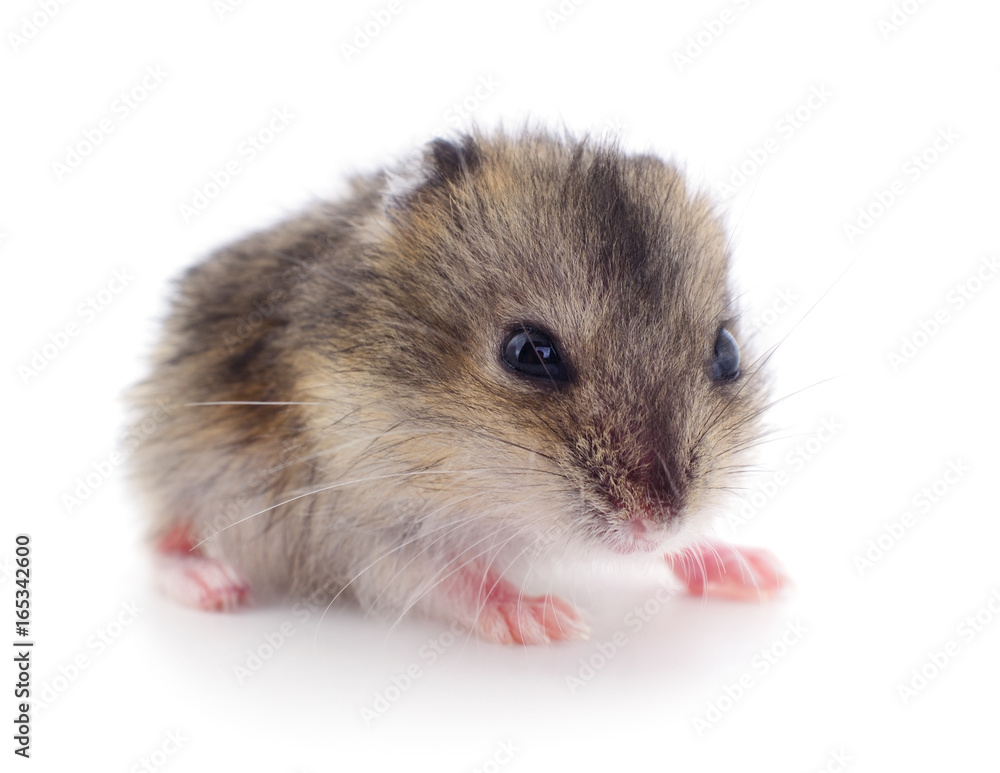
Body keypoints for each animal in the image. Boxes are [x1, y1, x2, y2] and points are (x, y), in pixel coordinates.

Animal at [126, 129, 786, 645]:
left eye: (727, 353)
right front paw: (547, 620)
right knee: (161, 538)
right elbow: (455, 578)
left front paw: (758, 572)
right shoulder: (365, 529)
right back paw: (213, 585)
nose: (658, 521)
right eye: (529, 353)